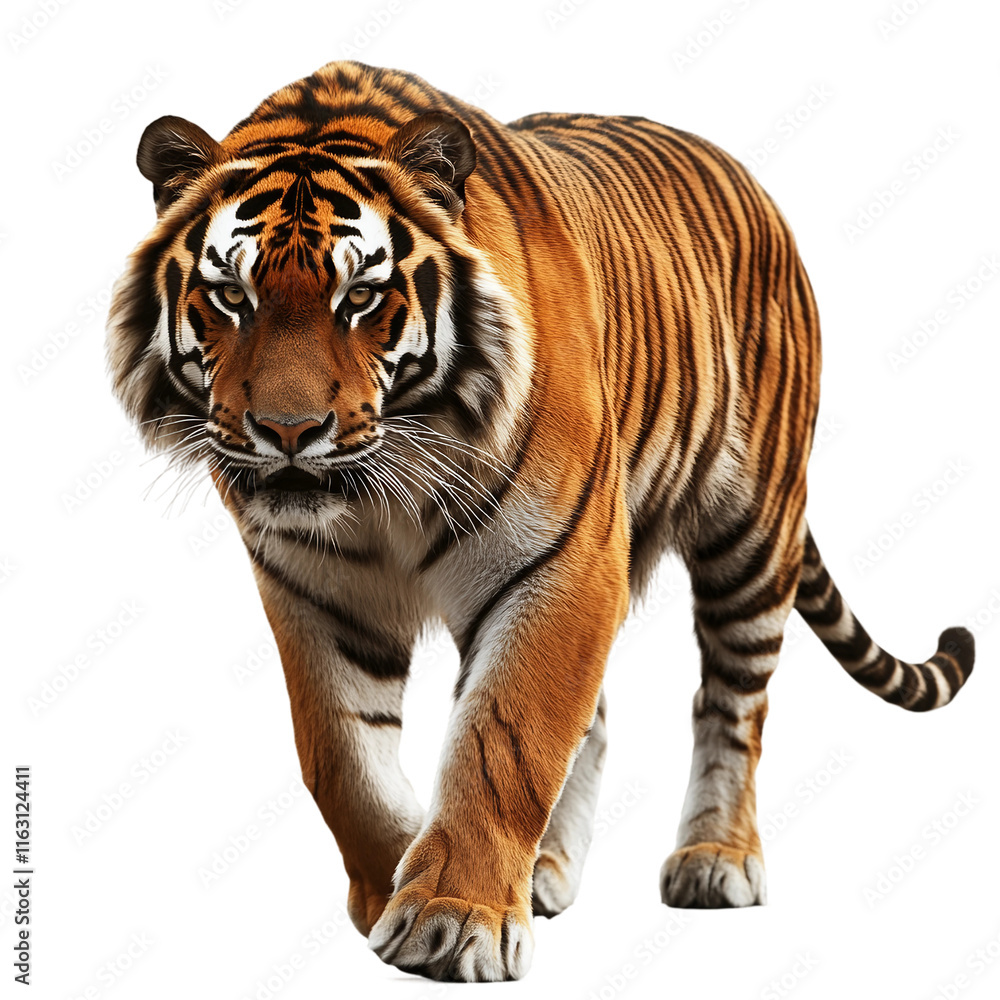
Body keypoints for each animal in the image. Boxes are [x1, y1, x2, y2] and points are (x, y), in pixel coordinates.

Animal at [106, 60, 975, 982]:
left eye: (362, 297)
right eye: (230, 295)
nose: (288, 431)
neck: (384, 485)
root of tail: (747, 178)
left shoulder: (562, 564)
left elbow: (506, 740)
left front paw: (453, 921)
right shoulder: (313, 587)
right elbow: (343, 760)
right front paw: (394, 884)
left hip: (751, 530)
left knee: (733, 704)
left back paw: (716, 858)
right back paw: (547, 870)